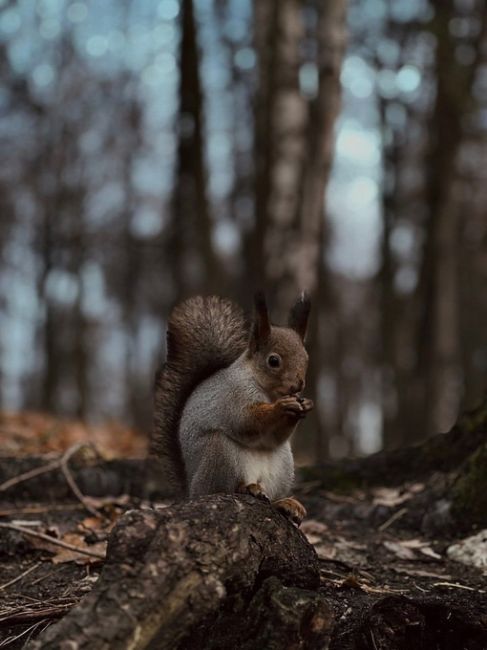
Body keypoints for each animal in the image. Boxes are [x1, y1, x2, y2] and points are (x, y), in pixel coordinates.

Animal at [151, 292, 314, 524]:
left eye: (306, 358)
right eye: (273, 361)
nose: (298, 385)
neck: (266, 390)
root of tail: (192, 491)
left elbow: (274, 437)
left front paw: (304, 405)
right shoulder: (233, 396)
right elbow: (246, 421)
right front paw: (281, 407)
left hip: (284, 464)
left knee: (270, 500)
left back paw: (285, 504)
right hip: (219, 454)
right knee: (225, 488)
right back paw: (246, 488)